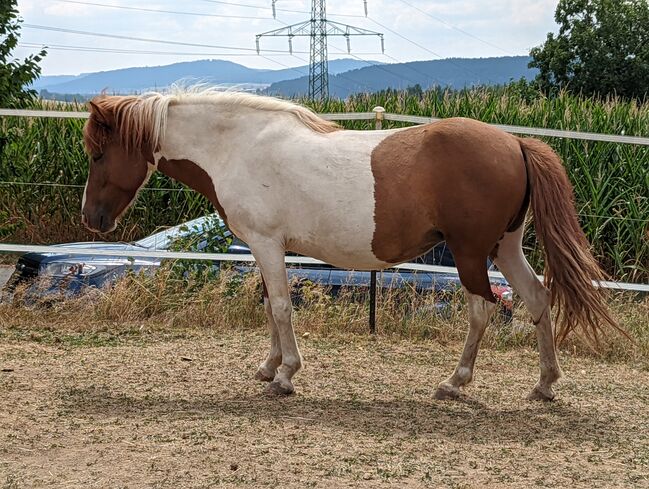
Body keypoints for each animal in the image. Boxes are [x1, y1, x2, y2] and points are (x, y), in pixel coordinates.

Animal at [81, 87, 616, 400]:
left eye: (99, 152)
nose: (92, 218)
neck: (240, 145)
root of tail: (515, 143)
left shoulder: (268, 244)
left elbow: (281, 307)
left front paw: (286, 374)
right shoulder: (265, 248)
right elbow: (271, 305)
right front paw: (269, 367)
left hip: (470, 255)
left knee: (482, 309)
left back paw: (454, 382)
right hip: (504, 248)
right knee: (539, 300)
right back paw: (544, 385)